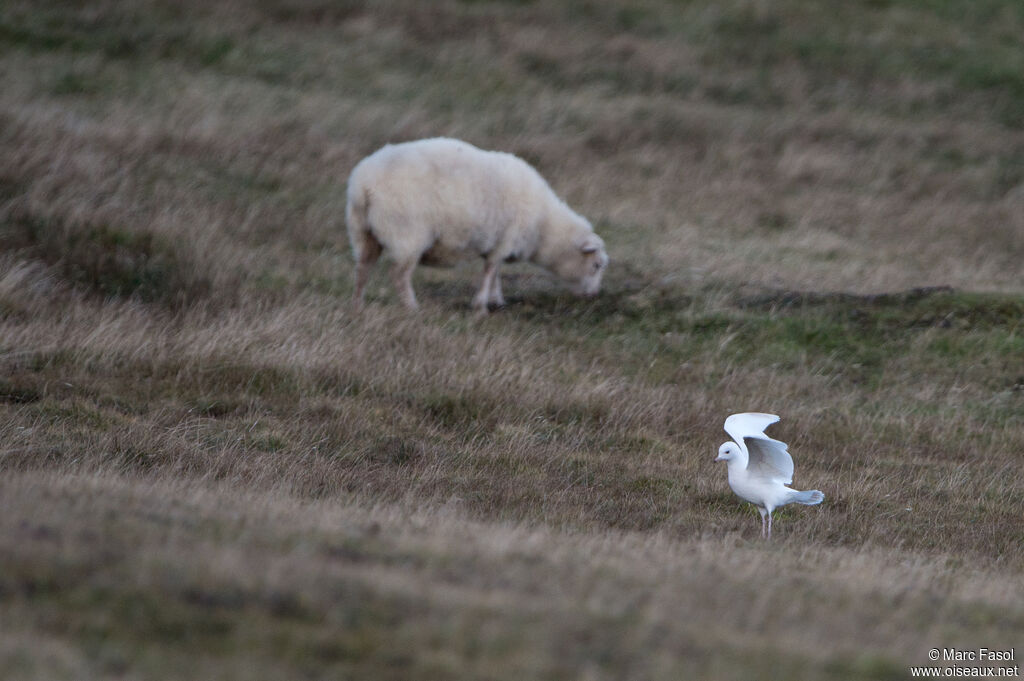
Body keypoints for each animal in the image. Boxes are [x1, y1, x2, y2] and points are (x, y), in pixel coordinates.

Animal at [346, 138, 606, 313]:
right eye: (595, 265)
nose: (593, 295)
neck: (544, 227)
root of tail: (363, 185)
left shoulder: (498, 242)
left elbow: (495, 272)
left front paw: (496, 300)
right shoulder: (505, 240)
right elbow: (490, 271)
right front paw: (481, 306)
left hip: (363, 232)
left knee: (362, 269)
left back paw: (358, 305)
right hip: (407, 234)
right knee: (399, 275)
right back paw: (412, 308)